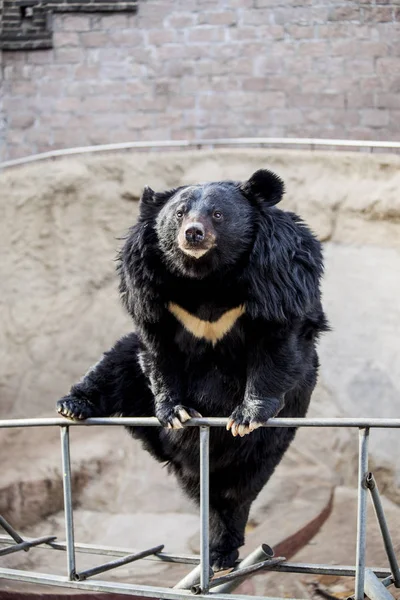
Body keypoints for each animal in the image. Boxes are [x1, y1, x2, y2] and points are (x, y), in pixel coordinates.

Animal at [58, 170, 328, 572]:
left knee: (235, 495)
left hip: (267, 445)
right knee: (115, 364)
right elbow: (158, 347)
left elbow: (277, 338)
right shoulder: (148, 285)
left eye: (217, 214)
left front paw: (246, 415)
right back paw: (72, 405)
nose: (193, 234)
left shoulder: (280, 274)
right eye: (180, 213)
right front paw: (176, 412)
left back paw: (221, 552)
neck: (206, 277)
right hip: (134, 382)